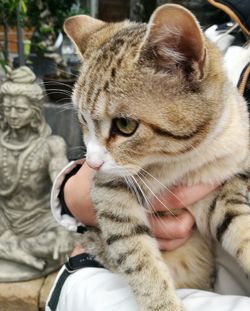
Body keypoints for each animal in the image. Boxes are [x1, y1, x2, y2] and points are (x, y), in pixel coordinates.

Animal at [65, 4, 250, 311]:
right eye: (81, 119)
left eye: (125, 125)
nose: (91, 163)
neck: (182, 161)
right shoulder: (110, 189)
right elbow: (136, 255)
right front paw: (162, 304)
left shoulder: (228, 179)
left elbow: (240, 224)